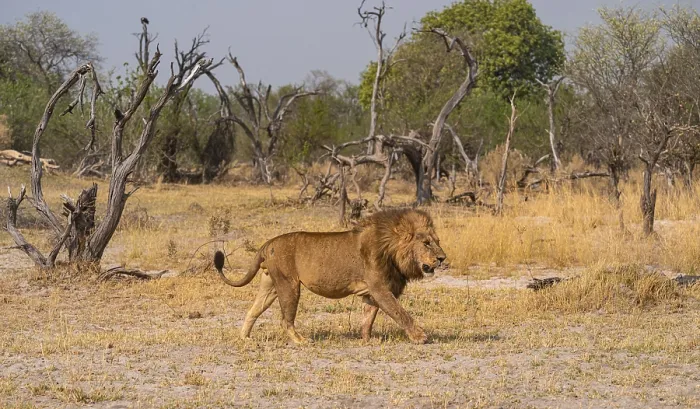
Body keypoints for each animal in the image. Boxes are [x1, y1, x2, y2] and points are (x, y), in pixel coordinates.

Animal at [213, 208, 446, 344]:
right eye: (426, 243)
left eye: (437, 241)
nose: (443, 258)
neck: (391, 249)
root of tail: (267, 243)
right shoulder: (380, 288)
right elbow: (400, 313)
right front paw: (420, 337)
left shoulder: (371, 292)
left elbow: (368, 317)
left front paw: (367, 339)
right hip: (289, 285)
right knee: (285, 320)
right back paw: (301, 341)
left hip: (270, 284)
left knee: (253, 310)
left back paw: (245, 338)